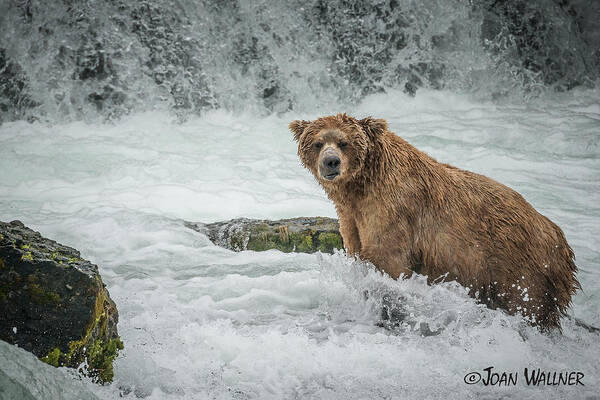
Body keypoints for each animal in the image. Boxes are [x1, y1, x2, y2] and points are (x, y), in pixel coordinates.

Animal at [290, 114, 580, 330]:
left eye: (344, 142)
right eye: (317, 143)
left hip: (521, 267)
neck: (360, 187)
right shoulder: (352, 219)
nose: (331, 162)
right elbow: (361, 258)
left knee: (528, 306)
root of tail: (561, 240)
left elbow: (388, 263)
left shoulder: (393, 209)